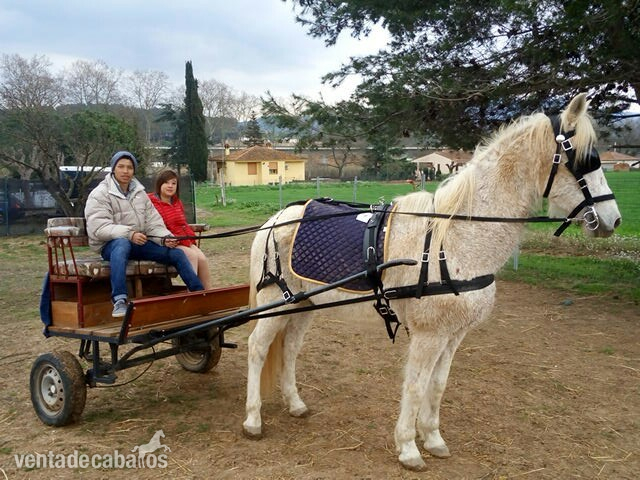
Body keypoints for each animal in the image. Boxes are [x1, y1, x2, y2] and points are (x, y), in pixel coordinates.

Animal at [242, 93, 621, 471]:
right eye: (586, 160)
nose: (613, 220)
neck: (453, 239)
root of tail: (277, 218)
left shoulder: (453, 335)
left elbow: (437, 386)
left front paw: (433, 439)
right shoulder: (429, 335)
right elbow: (415, 385)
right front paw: (409, 448)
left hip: (302, 305)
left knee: (290, 349)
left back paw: (295, 403)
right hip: (274, 304)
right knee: (258, 347)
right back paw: (253, 419)